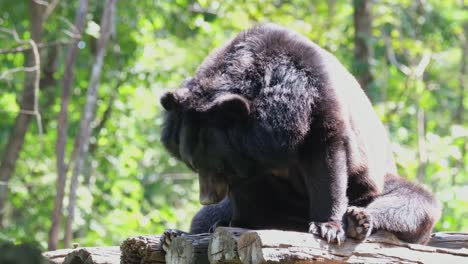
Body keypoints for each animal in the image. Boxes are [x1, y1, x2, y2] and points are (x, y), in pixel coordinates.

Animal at [159, 23, 440, 245]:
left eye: (218, 166)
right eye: (193, 165)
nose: (206, 197)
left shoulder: (318, 98)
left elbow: (327, 155)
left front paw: (328, 228)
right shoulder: (249, 165)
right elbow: (246, 196)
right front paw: (240, 222)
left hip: (373, 183)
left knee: (414, 201)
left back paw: (358, 219)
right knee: (203, 218)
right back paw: (181, 231)